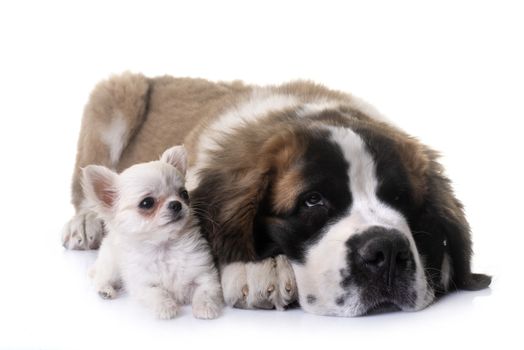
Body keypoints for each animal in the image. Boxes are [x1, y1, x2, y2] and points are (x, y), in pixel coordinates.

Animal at [83, 145, 222, 320]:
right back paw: (105, 290)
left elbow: (204, 291)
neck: (165, 248)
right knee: (101, 277)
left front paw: (205, 308)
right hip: (110, 264)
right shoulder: (142, 284)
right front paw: (167, 307)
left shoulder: (205, 274)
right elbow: (157, 293)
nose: (176, 204)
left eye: (184, 194)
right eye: (147, 203)